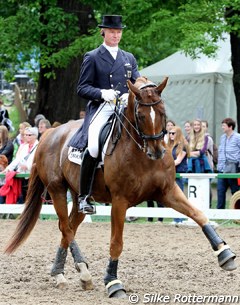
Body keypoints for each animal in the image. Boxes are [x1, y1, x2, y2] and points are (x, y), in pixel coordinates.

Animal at [3, 76, 236, 296]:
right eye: (141, 116)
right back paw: (83, 271)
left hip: (79, 197)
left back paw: (60, 273)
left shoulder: (167, 191)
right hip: (57, 189)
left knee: (68, 226)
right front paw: (113, 283)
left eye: (163, 112)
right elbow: (116, 243)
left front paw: (224, 253)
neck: (140, 153)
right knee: (66, 227)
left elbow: (199, 214)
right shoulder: (119, 201)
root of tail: (49, 134)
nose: (157, 152)